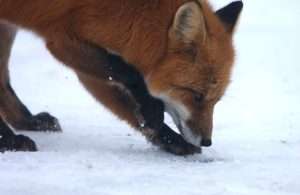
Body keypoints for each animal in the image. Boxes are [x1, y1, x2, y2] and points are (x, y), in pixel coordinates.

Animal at [0, 0, 241, 155]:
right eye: (197, 96)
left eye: (216, 101)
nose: (207, 141)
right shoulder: (63, 40)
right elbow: (129, 73)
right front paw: (152, 111)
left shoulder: (83, 63)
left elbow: (127, 107)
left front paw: (171, 140)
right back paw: (10, 140)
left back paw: (27, 121)